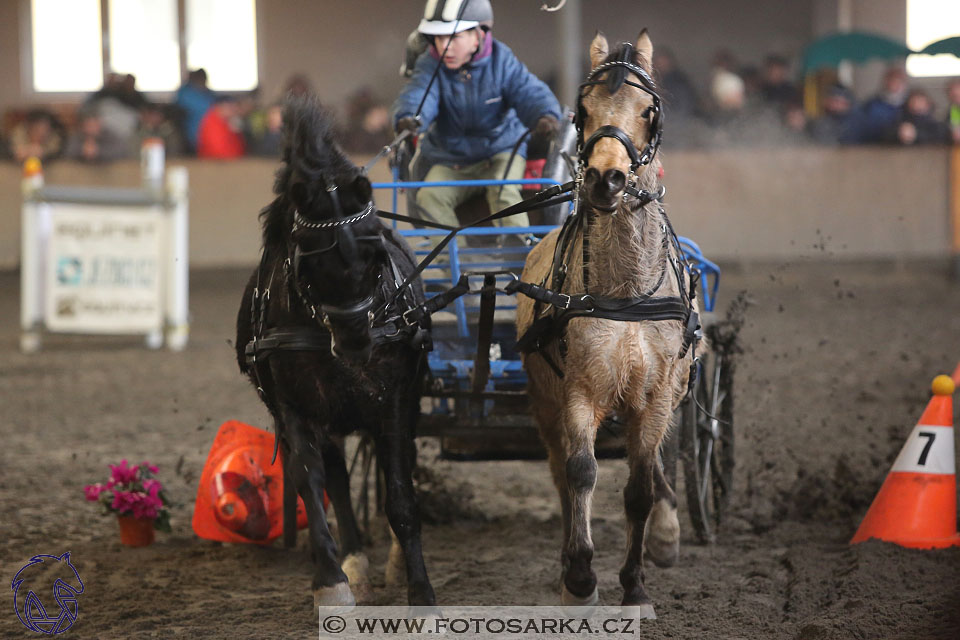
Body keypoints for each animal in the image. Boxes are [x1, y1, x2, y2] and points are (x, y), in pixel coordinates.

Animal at [236, 94, 436, 604]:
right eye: (308, 258)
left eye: (375, 252)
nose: (356, 340)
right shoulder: (295, 406)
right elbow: (310, 479)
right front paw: (331, 581)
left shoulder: (395, 399)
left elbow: (400, 492)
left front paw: (419, 590)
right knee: (339, 481)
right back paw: (355, 561)